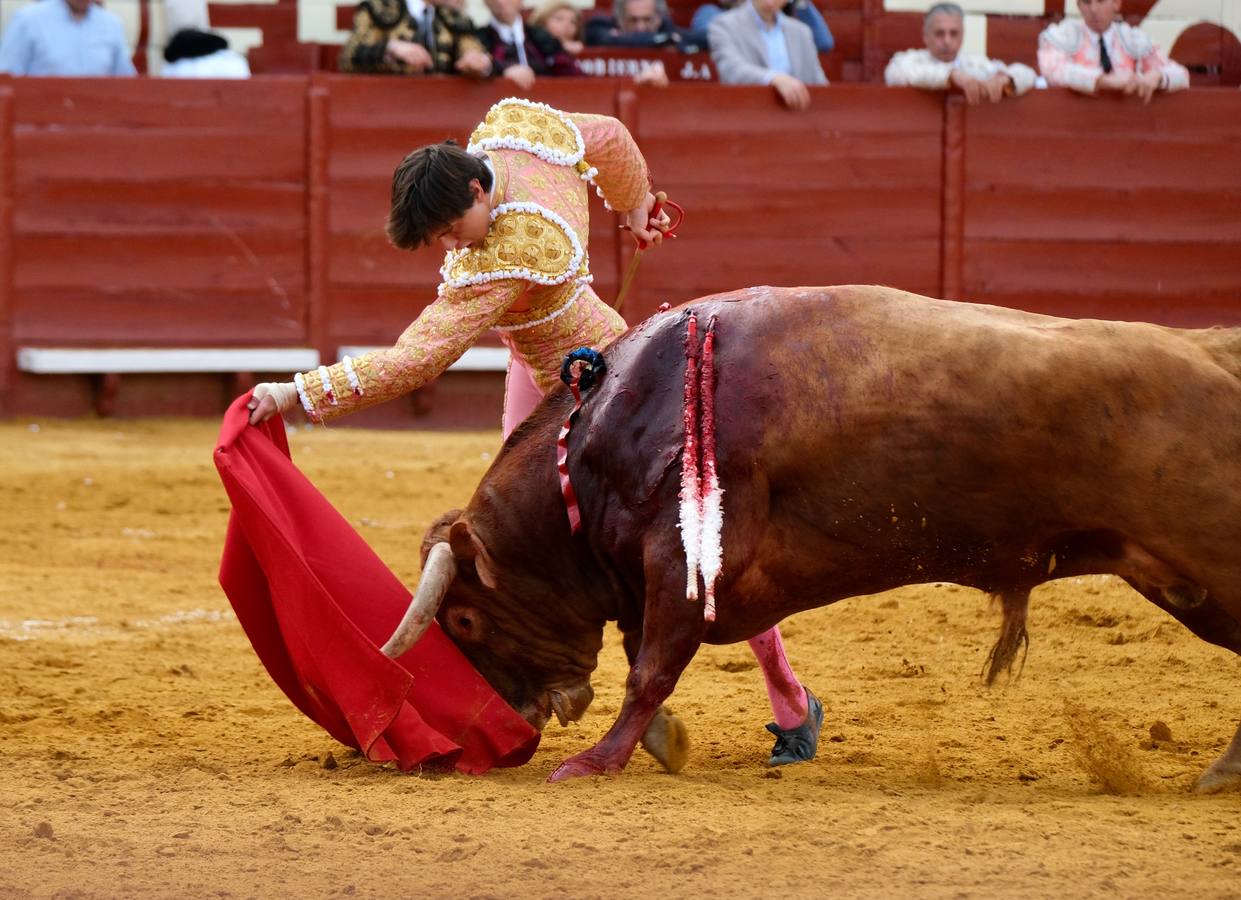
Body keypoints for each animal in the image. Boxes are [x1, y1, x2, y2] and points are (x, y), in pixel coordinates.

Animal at [379, 288, 1241, 784]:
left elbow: (649, 670)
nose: (512, 722)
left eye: (464, 619)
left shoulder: (678, 561)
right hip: (1182, 583)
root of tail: (1211, 350)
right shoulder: (660, 578)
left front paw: (594, 762)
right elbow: (643, 659)